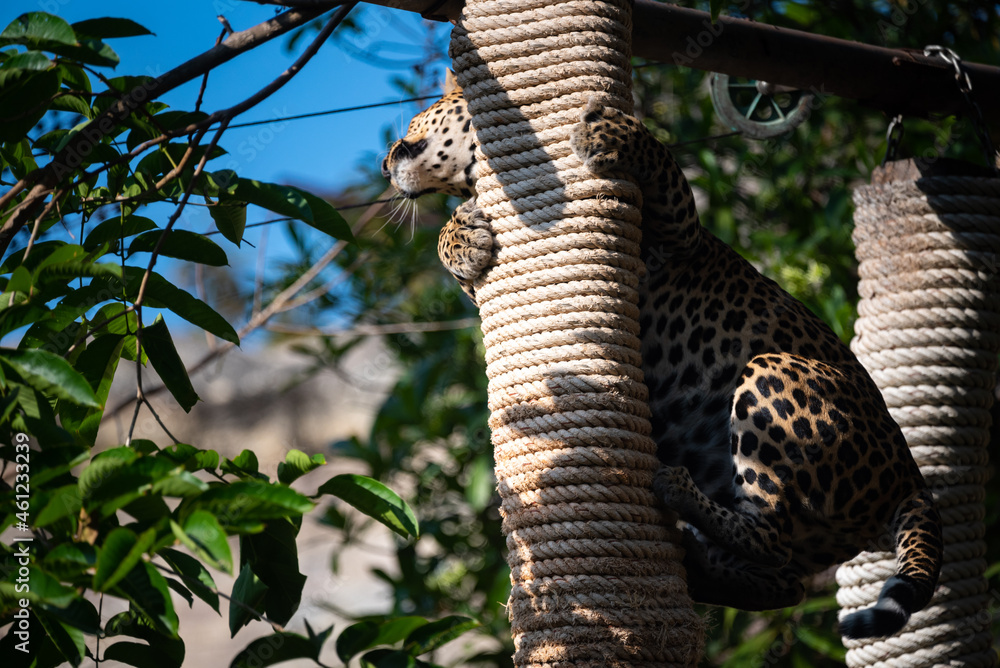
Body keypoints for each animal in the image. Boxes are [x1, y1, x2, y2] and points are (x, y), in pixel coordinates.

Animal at [382, 75, 943, 641]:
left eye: (416, 119)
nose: (385, 165)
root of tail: (911, 477)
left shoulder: (679, 233)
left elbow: (663, 161)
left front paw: (607, 132)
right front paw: (461, 239)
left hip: (773, 370)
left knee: (774, 537)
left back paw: (680, 504)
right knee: (785, 577)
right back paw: (694, 555)